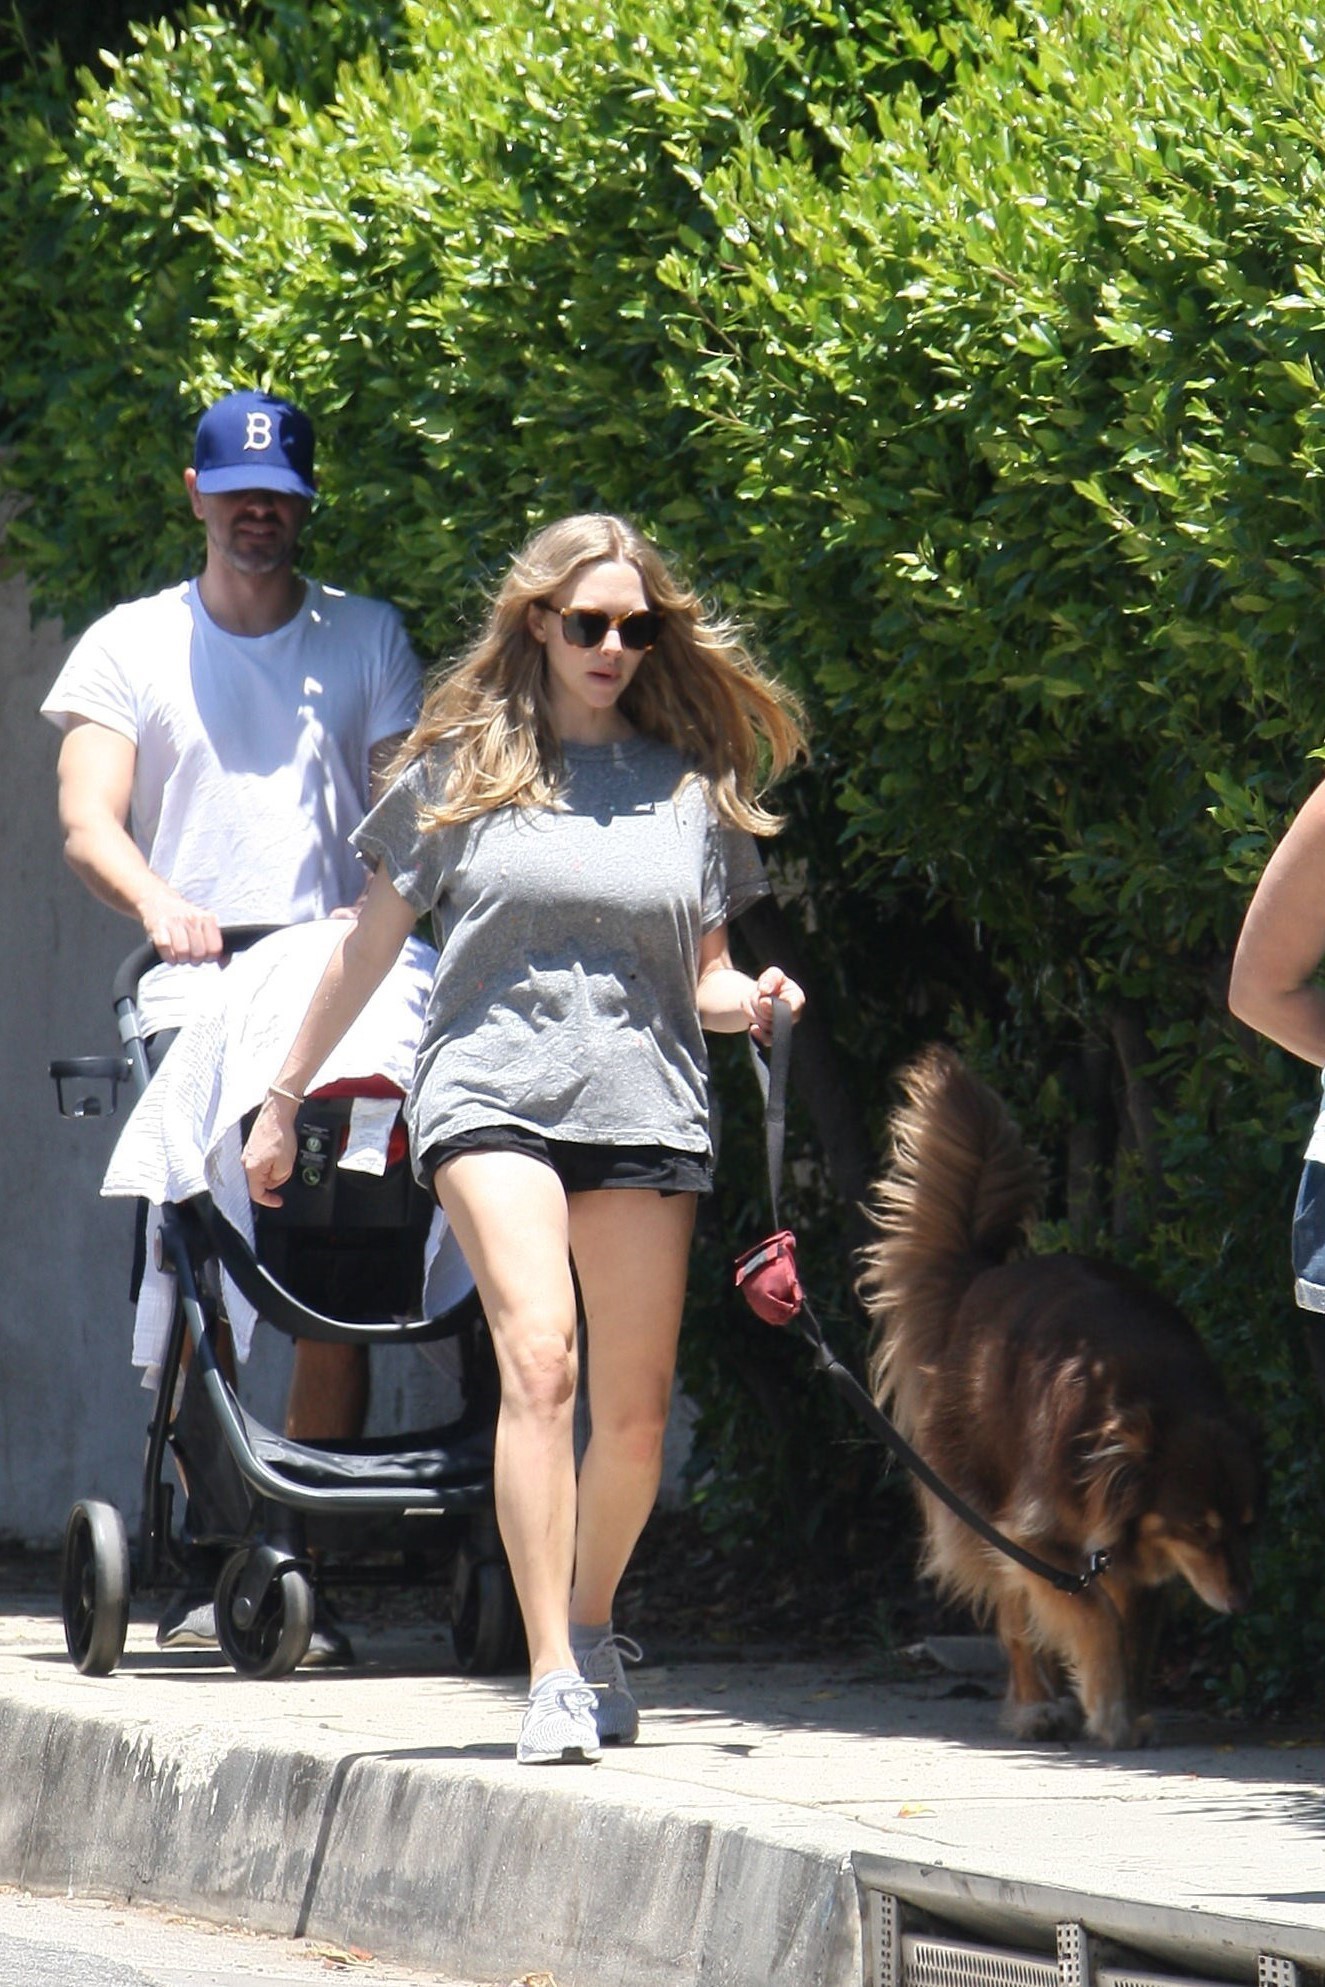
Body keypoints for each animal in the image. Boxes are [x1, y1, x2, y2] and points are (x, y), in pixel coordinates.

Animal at [858, 1045, 1259, 1748]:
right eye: (1199, 1529)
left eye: (1246, 1525)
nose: (1242, 1603)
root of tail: (978, 1281)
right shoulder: (1038, 1534)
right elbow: (1094, 1615)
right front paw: (1109, 1709)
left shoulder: (1142, 1554)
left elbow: (1136, 1634)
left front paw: (1129, 1707)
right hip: (976, 1503)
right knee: (1014, 1617)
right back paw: (1036, 1705)